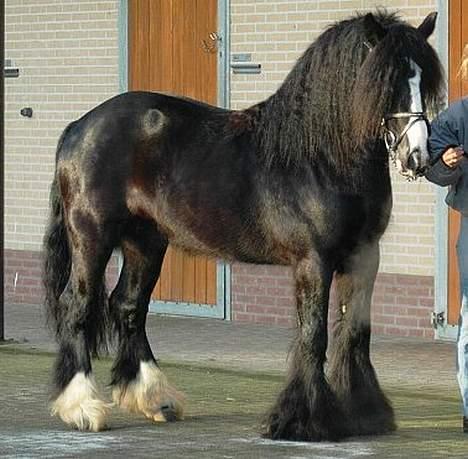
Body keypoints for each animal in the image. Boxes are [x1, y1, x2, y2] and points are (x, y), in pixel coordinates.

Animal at [42, 11, 444, 442]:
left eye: (423, 79)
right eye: (386, 81)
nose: (417, 156)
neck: (320, 158)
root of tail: (79, 127)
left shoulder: (364, 258)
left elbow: (354, 332)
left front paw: (365, 414)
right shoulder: (313, 261)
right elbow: (313, 334)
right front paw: (301, 420)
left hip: (145, 241)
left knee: (128, 305)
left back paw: (155, 398)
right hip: (92, 236)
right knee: (77, 305)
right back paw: (83, 407)